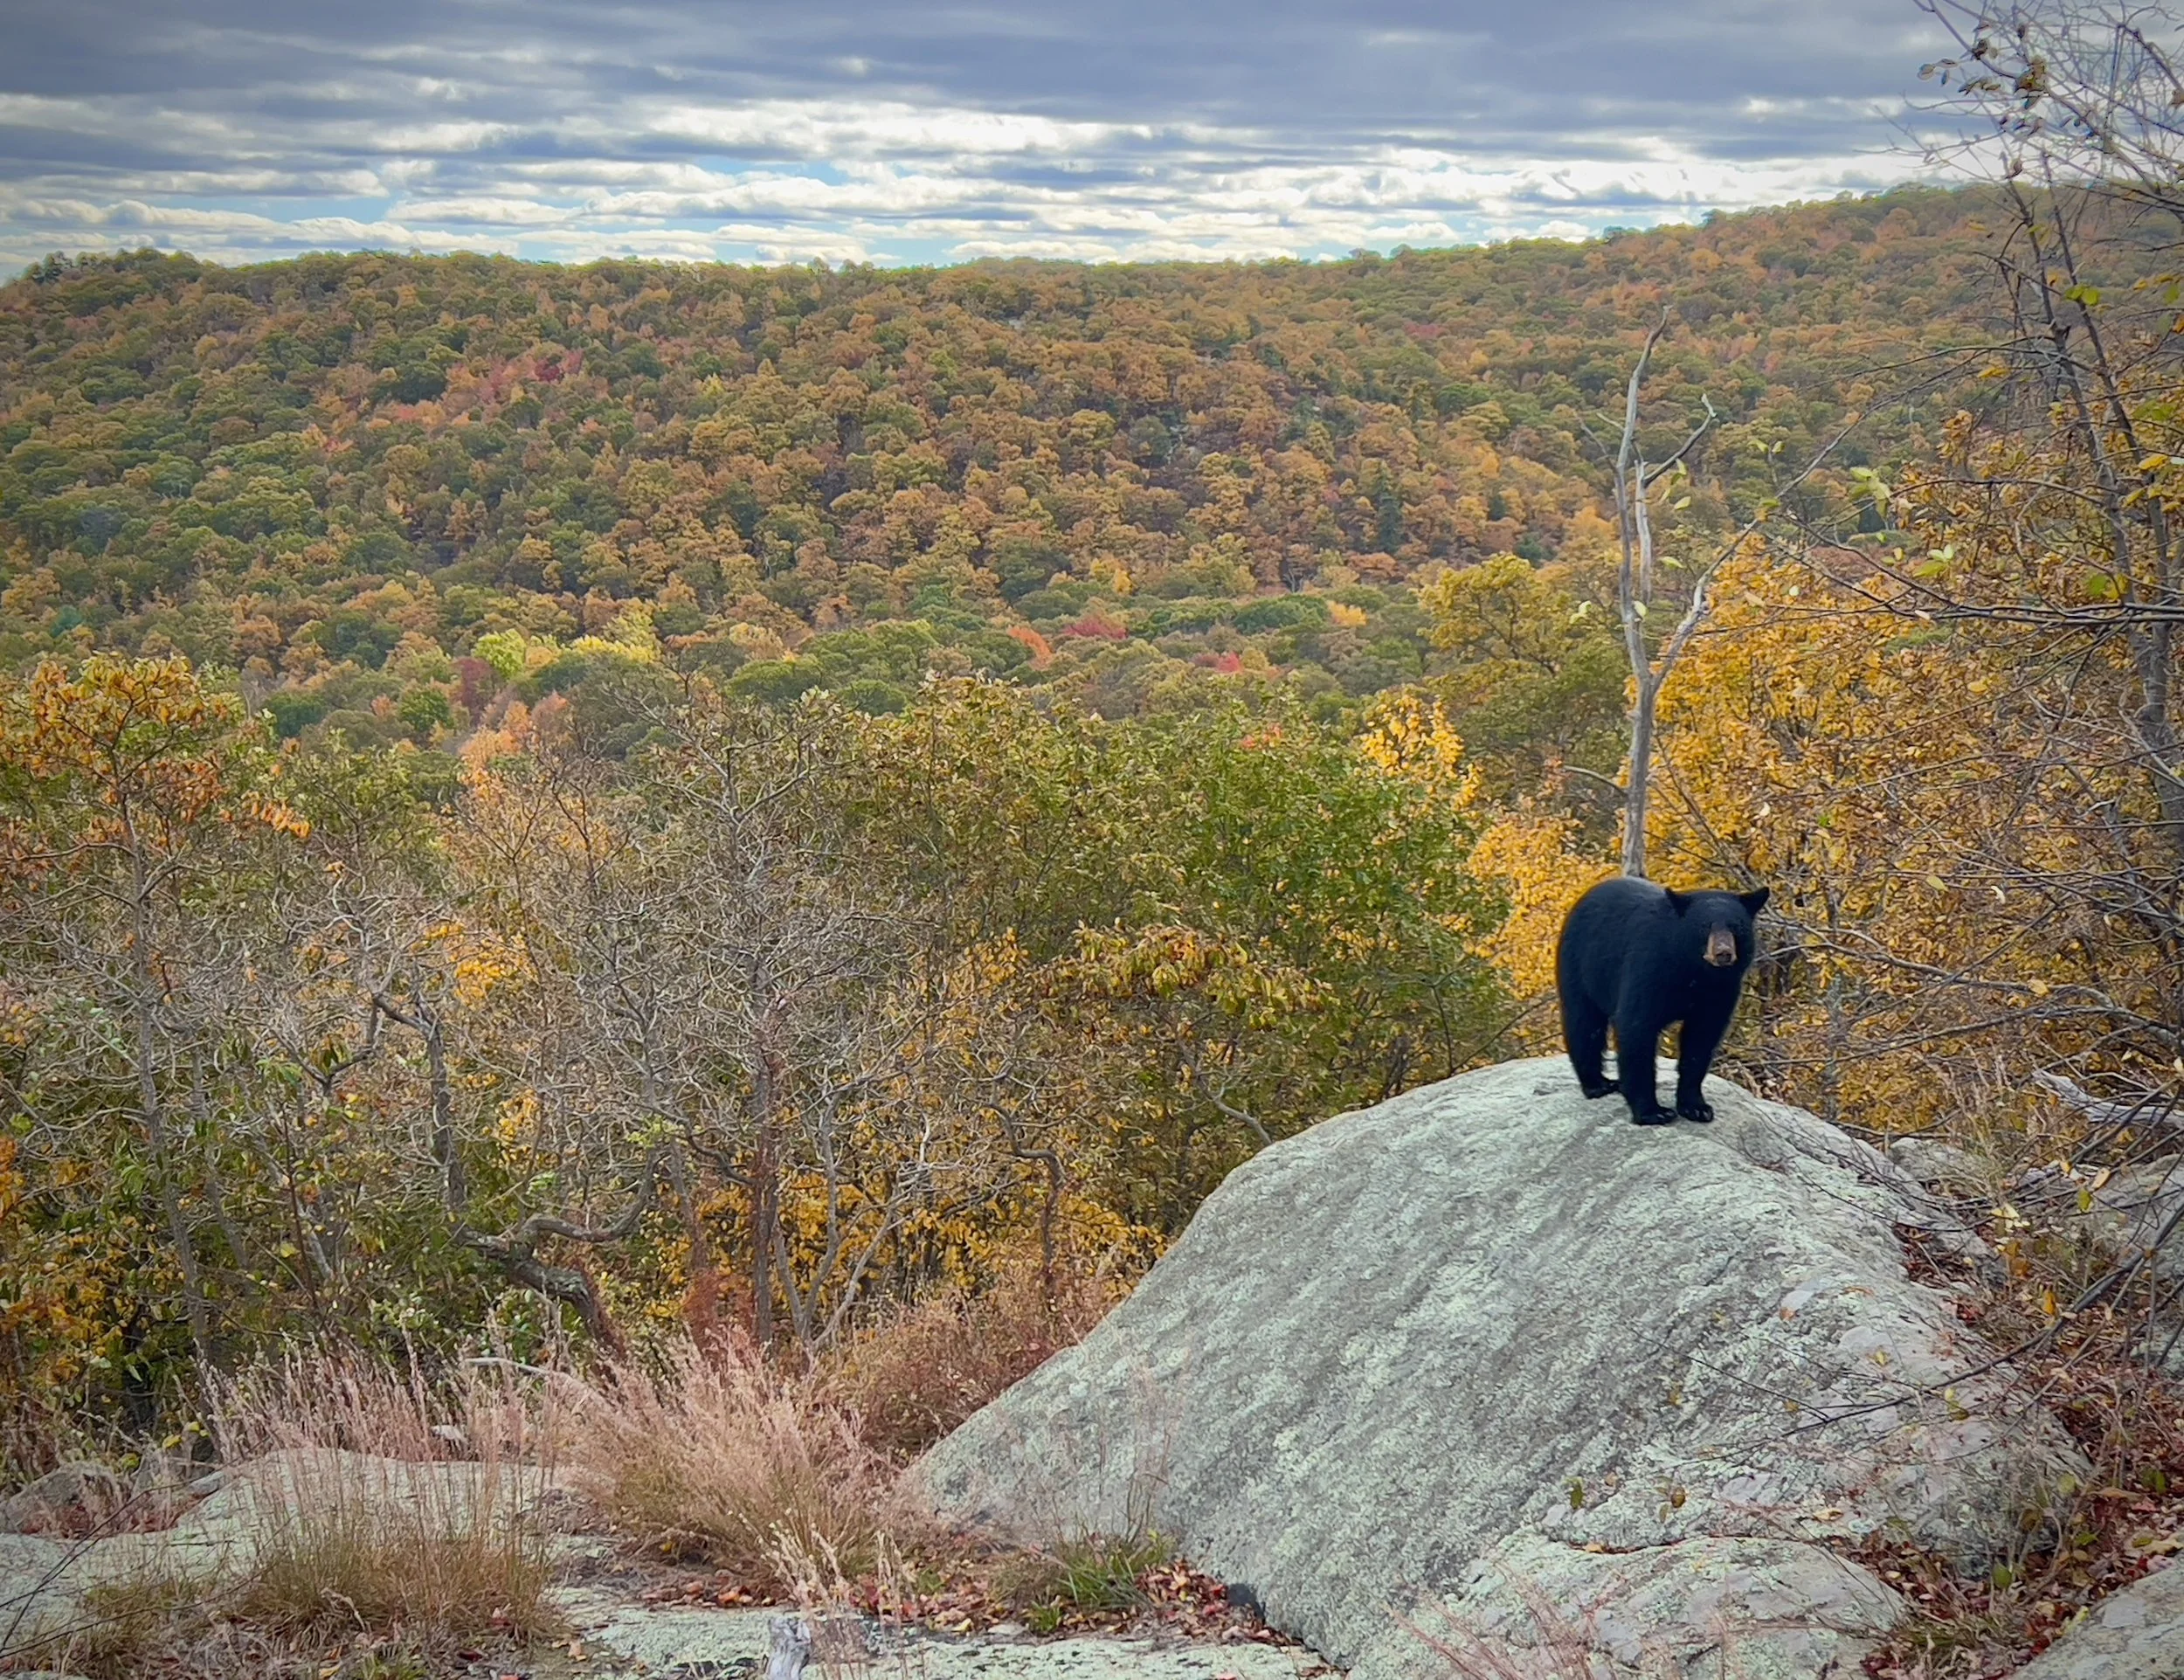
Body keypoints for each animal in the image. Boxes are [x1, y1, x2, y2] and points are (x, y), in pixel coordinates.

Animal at [1556, 876, 1771, 1126]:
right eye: (1704, 926)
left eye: (1736, 927)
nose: (1723, 953)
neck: (1696, 972)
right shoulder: (1650, 968)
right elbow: (1637, 1028)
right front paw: (1653, 1112)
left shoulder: (1721, 990)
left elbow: (1702, 1039)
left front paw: (1696, 1107)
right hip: (1580, 966)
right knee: (1584, 1024)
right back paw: (1598, 1084)